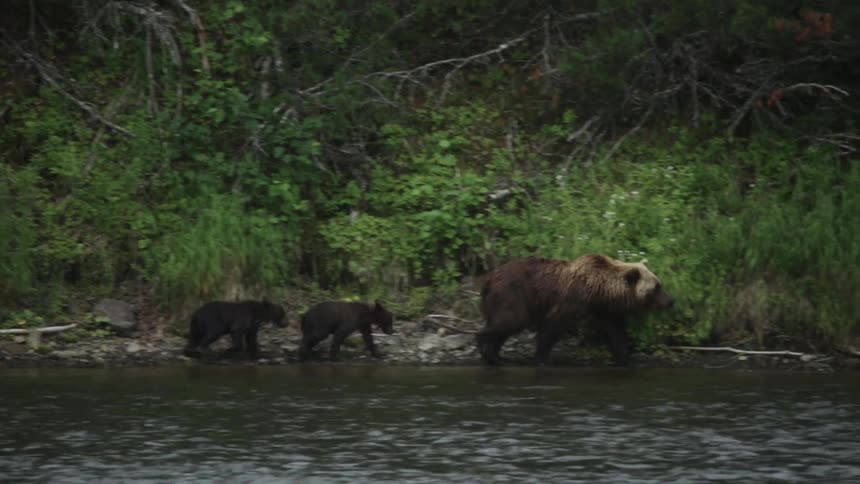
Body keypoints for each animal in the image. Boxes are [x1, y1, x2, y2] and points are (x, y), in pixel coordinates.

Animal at [475, 254, 675, 366]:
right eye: (656, 287)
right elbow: (552, 327)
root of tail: (488, 278)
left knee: (505, 328)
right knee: (510, 321)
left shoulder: (604, 309)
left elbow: (615, 333)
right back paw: (484, 347)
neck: (599, 289)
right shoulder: (572, 300)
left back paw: (497, 356)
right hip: (514, 295)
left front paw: (627, 359)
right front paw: (541, 359)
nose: (672, 300)